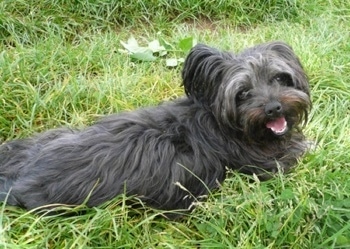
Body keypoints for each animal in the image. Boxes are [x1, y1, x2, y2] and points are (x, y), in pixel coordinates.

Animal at [0, 40, 312, 212]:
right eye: (243, 93)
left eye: (279, 78)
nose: (274, 108)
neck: (221, 120)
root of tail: (23, 175)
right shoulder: (267, 163)